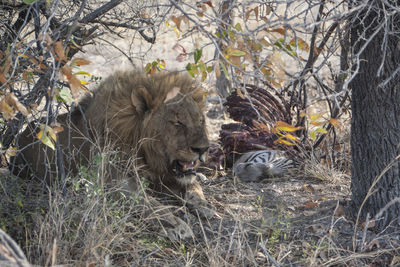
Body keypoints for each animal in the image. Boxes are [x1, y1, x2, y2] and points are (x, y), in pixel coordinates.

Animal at [10, 69, 216, 239]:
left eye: (200, 120)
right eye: (178, 123)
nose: (203, 149)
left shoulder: (168, 175)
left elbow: (194, 186)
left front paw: (204, 206)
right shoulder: (113, 183)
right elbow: (150, 204)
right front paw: (176, 225)